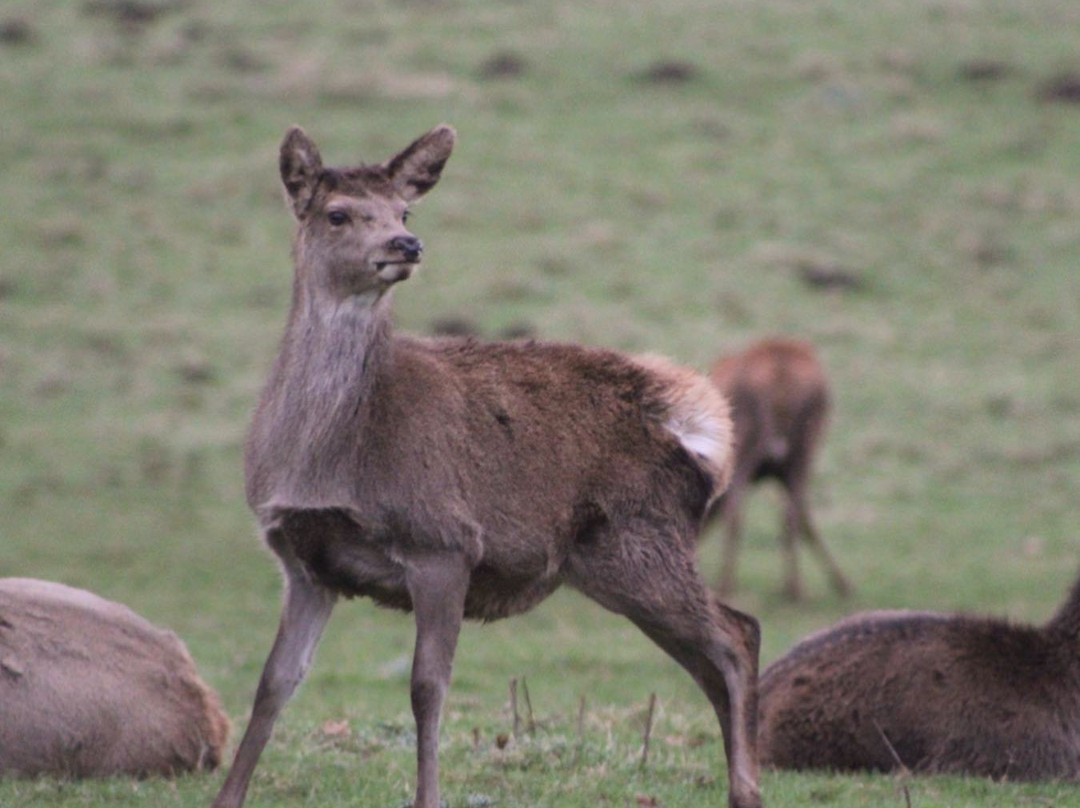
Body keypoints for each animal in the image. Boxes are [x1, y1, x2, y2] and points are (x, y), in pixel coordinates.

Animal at [210, 123, 764, 808]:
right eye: (337, 213)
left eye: (404, 210)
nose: (406, 244)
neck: (330, 457)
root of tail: (703, 423)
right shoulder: (304, 561)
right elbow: (274, 683)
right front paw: (227, 797)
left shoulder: (443, 541)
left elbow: (427, 688)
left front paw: (428, 797)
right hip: (614, 566)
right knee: (711, 657)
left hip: (644, 542)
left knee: (738, 636)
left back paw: (748, 789)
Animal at [704, 337, 846, 600]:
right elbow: (803, 517)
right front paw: (840, 583)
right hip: (801, 448)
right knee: (783, 512)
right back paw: (791, 588)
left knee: (743, 510)